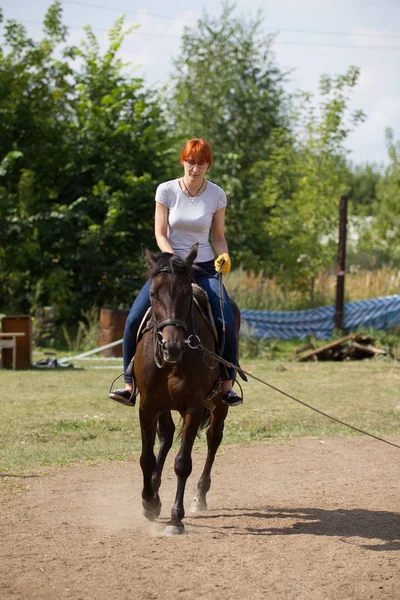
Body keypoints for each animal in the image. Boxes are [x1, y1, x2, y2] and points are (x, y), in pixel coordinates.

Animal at [134, 243, 241, 536]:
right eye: (152, 293)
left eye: (185, 293)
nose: (171, 346)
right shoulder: (148, 405)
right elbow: (146, 457)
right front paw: (149, 502)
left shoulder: (194, 406)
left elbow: (183, 463)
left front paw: (175, 519)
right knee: (167, 436)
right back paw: (155, 489)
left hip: (218, 403)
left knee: (214, 439)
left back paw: (199, 497)